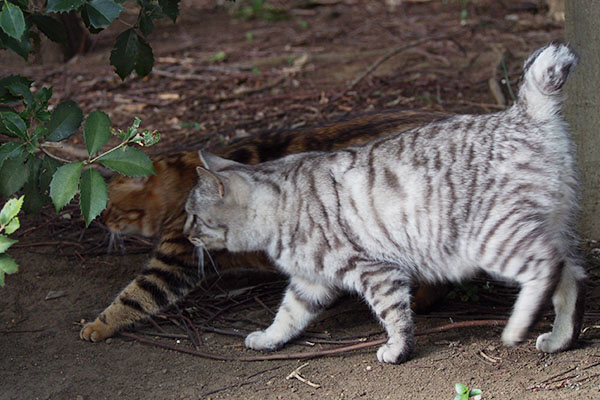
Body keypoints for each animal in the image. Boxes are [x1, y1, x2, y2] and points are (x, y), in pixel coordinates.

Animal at [184, 42, 584, 364]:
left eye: (191, 216)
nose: (187, 235)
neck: (279, 203)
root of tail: (523, 113)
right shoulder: (309, 282)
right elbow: (287, 316)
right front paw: (268, 339)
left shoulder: (376, 272)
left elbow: (394, 317)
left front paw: (396, 350)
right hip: (544, 229)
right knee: (570, 277)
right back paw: (560, 337)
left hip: (494, 239)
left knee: (545, 266)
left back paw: (516, 329)